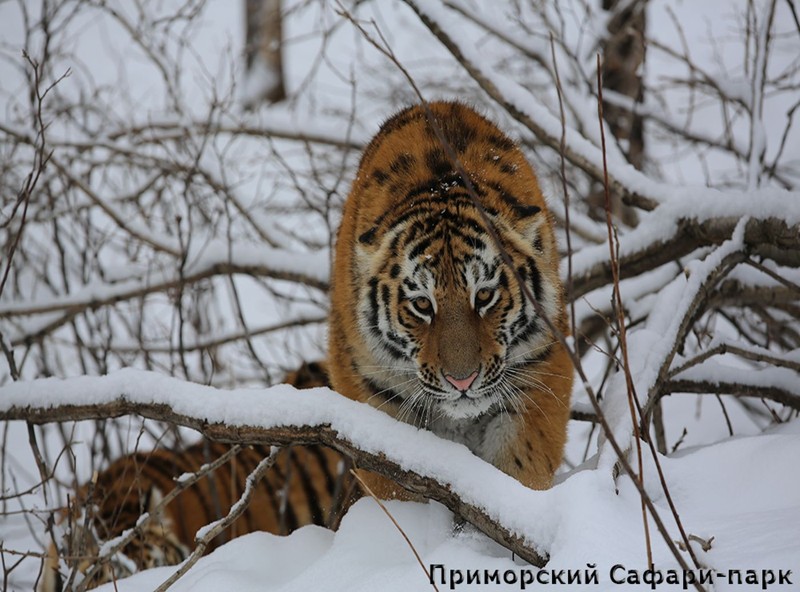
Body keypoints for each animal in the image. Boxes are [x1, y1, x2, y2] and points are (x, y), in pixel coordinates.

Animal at [328, 100, 572, 494]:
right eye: (422, 304)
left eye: (484, 295)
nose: (462, 382)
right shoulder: (371, 386)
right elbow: (390, 480)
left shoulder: (541, 368)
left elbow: (521, 466)